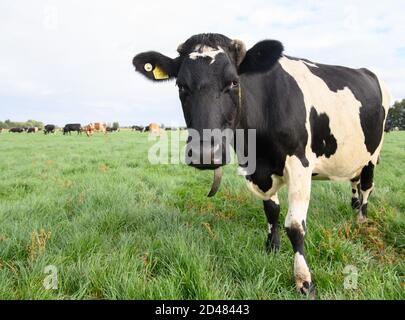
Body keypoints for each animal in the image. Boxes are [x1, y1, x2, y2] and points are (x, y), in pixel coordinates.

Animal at [132, 32, 388, 296]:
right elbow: (271, 210)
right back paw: (353, 205)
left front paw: (304, 280)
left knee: (367, 186)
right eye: (181, 85)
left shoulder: (300, 164)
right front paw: (272, 247)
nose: (204, 154)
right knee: (355, 181)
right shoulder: (257, 168)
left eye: (234, 82)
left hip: (373, 152)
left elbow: (295, 226)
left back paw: (361, 219)